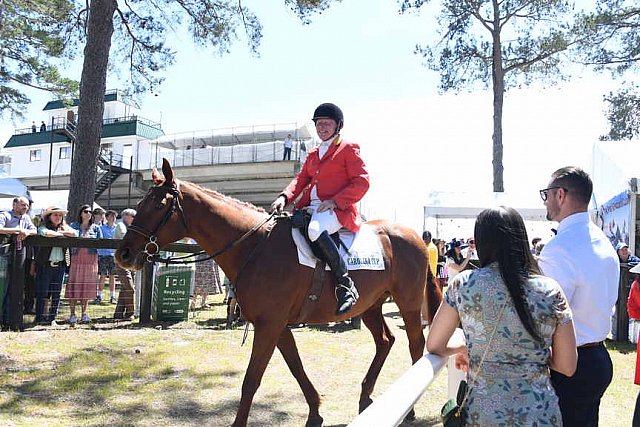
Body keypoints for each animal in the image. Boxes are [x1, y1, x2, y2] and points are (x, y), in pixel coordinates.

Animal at [115, 160, 440, 427]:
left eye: (159, 206)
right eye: (141, 202)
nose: (123, 254)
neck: (255, 245)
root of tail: (413, 236)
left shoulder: (269, 325)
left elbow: (251, 379)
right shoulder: (278, 326)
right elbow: (296, 367)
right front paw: (315, 413)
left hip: (409, 305)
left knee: (415, 345)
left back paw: (410, 407)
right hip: (369, 306)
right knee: (385, 341)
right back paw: (366, 398)